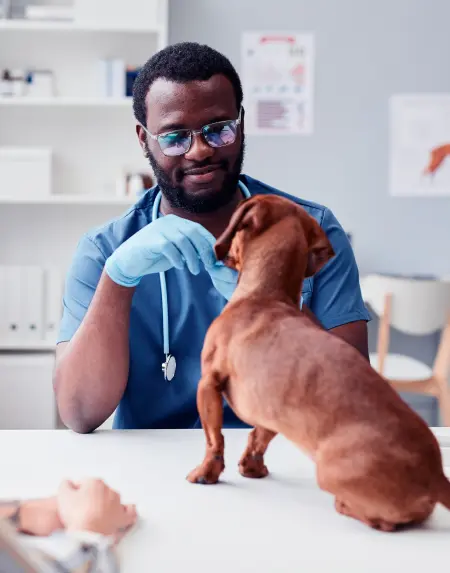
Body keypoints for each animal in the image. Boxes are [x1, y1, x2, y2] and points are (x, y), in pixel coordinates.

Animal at [186, 194, 450, 528]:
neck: (265, 296)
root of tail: (435, 475)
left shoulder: (208, 383)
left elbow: (214, 439)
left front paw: (205, 473)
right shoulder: (270, 412)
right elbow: (259, 438)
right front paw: (252, 468)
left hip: (328, 472)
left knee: (385, 522)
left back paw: (346, 506)